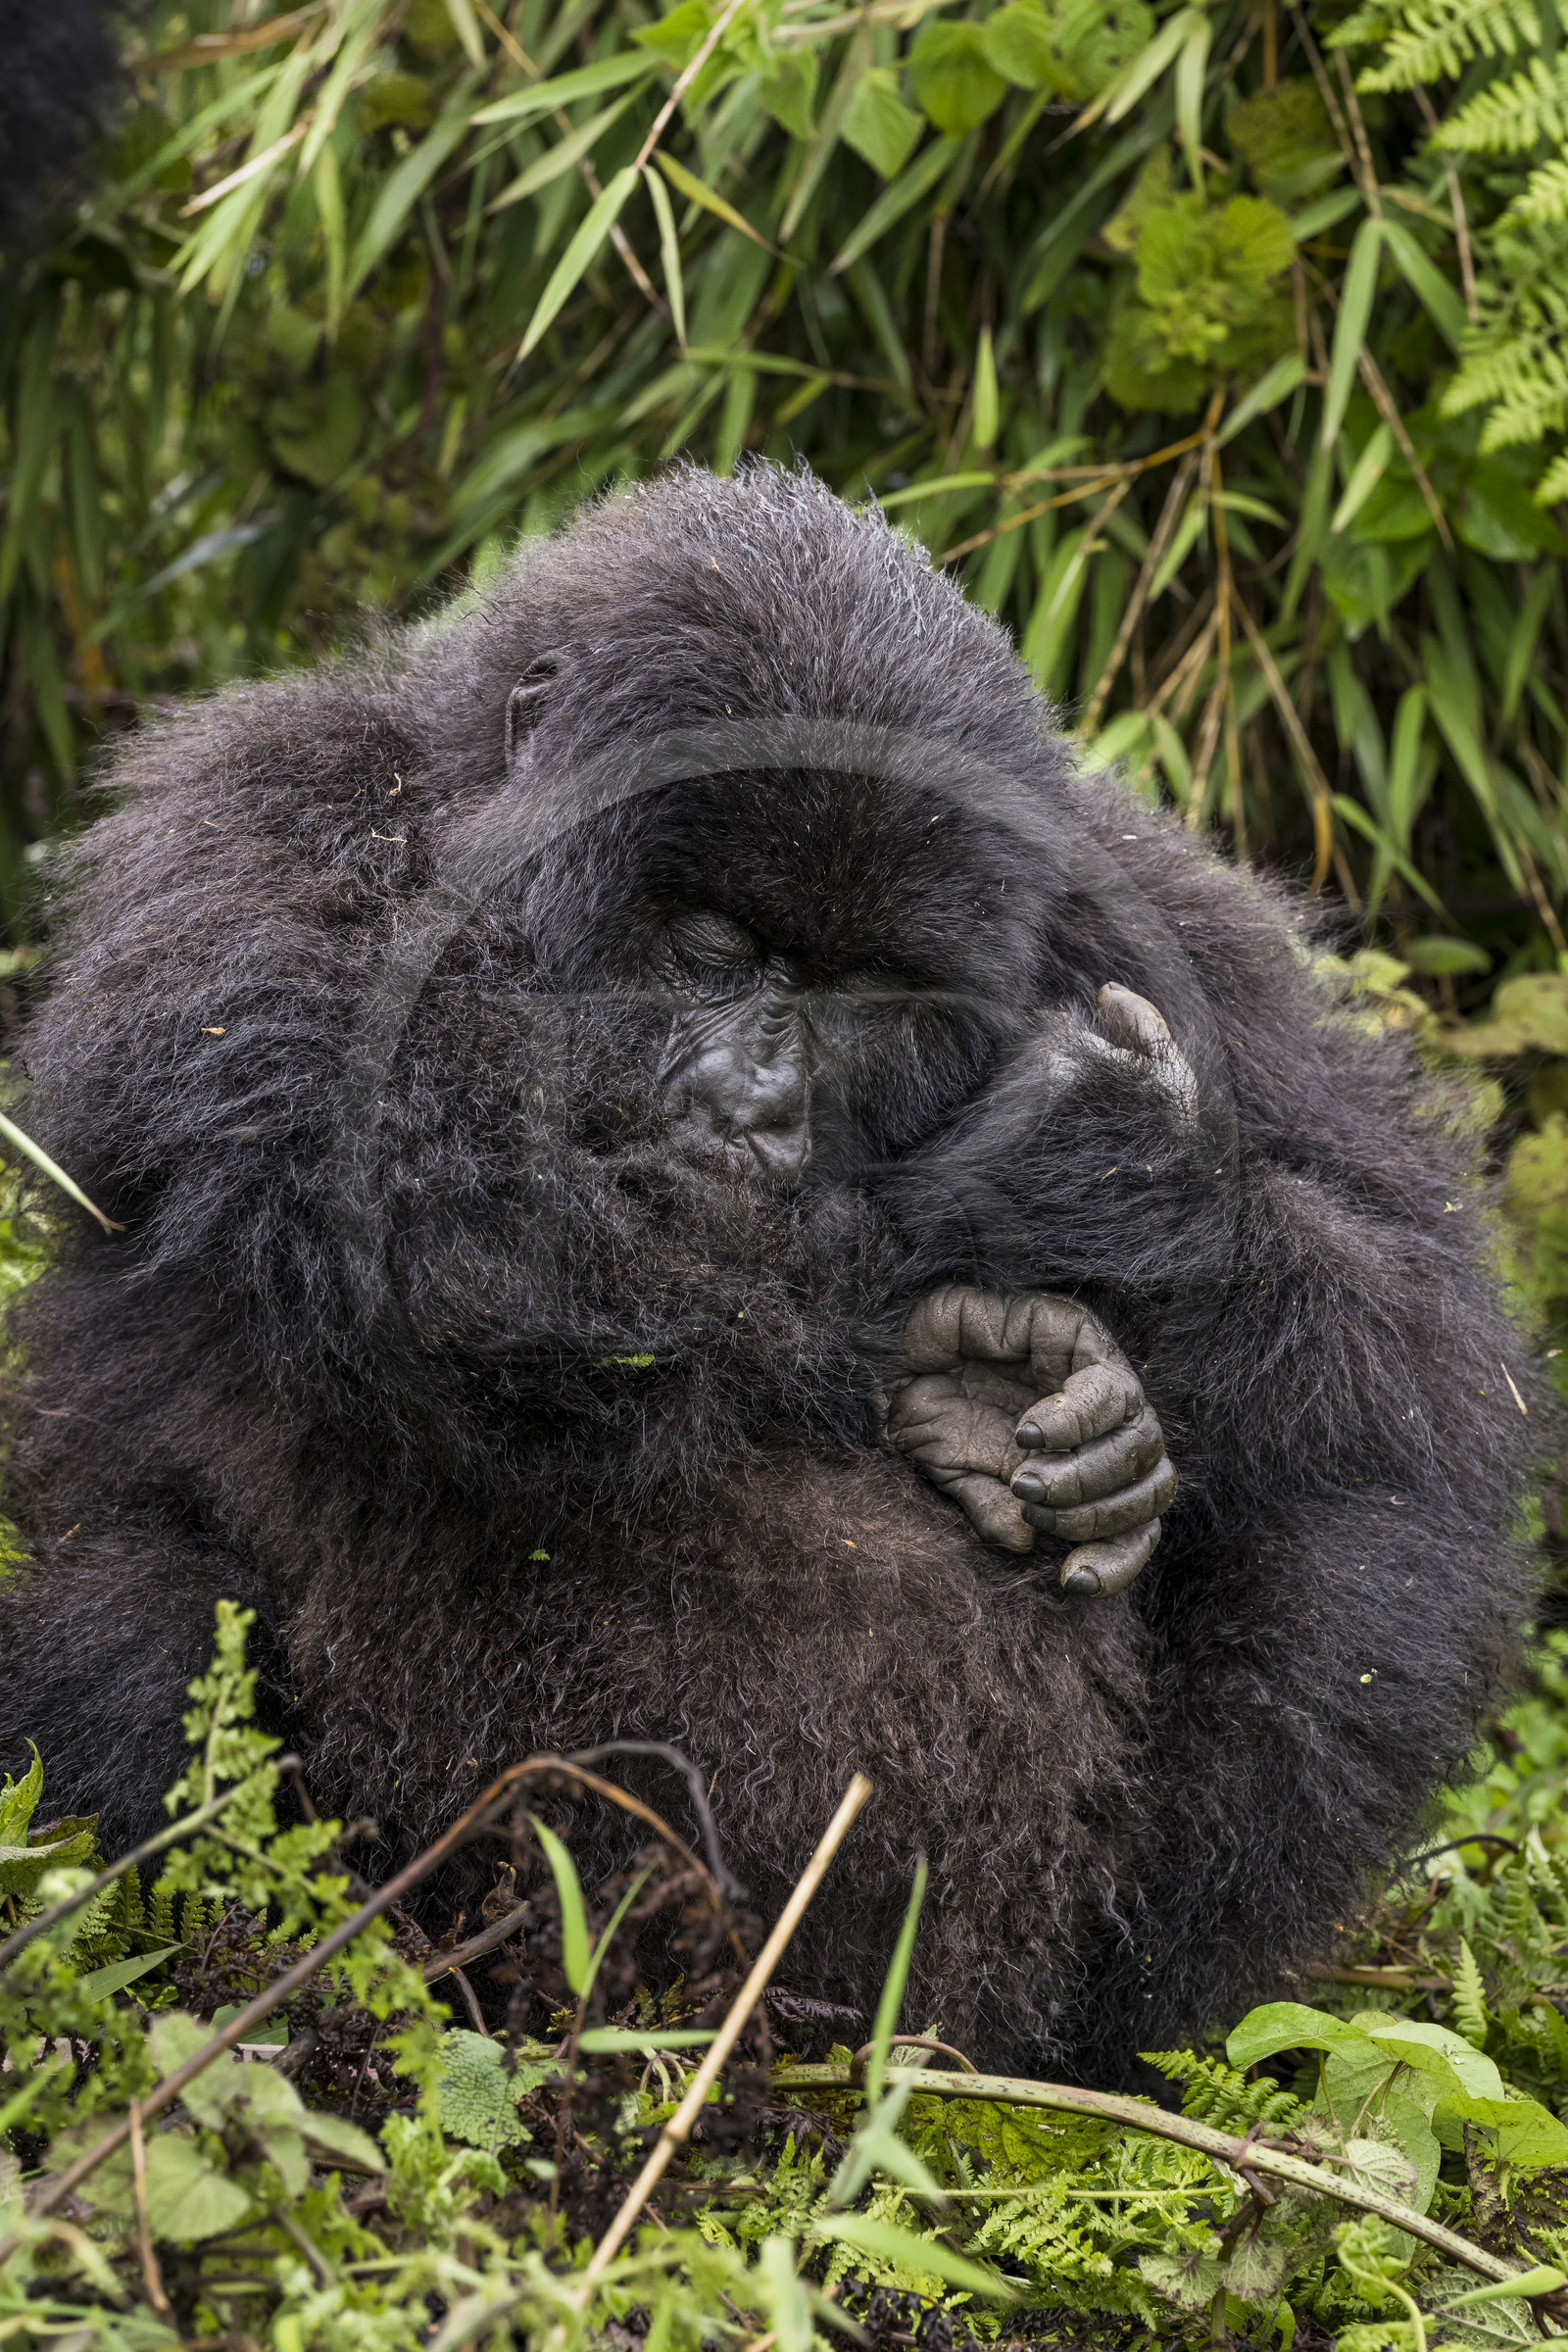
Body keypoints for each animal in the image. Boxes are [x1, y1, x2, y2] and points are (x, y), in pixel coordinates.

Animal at [0, 460, 1544, 2084]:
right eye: (715, 942)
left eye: (865, 987)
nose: (755, 1104)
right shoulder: (254, 835)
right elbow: (455, 1219)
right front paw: (1036, 1220)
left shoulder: (1158, 919)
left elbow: (1411, 1313)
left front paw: (1126, 1205)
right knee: (141, 1615)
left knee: (1361, 1550)